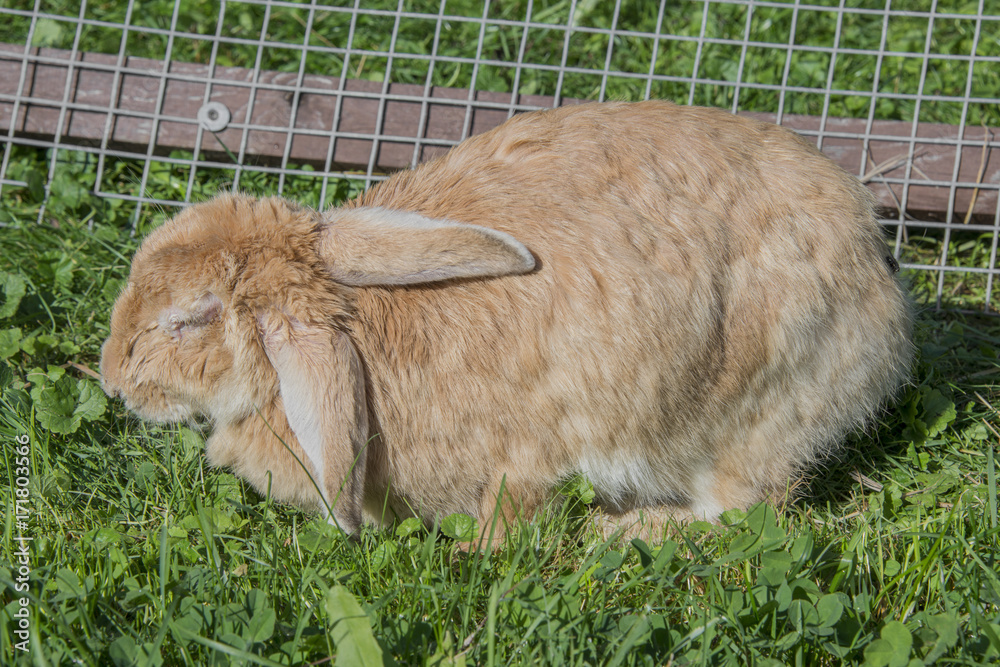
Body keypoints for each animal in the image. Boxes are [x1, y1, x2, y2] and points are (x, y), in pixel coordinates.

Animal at [100, 100, 912, 544]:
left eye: (189, 319)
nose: (111, 380)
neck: (355, 325)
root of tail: (877, 280)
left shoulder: (518, 464)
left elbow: (508, 517)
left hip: (751, 413)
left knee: (744, 507)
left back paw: (621, 531)